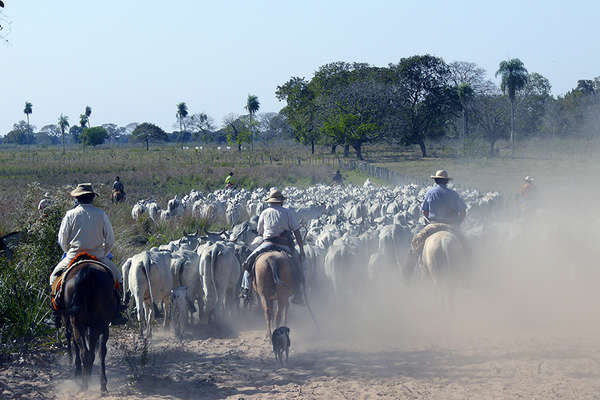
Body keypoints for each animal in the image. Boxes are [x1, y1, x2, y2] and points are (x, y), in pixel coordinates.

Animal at [61, 262, 117, 394]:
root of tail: (86, 272)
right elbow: (99, 350)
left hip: (78, 323)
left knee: (85, 352)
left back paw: (84, 383)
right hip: (98, 324)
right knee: (95, 352)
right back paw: (97, 384)